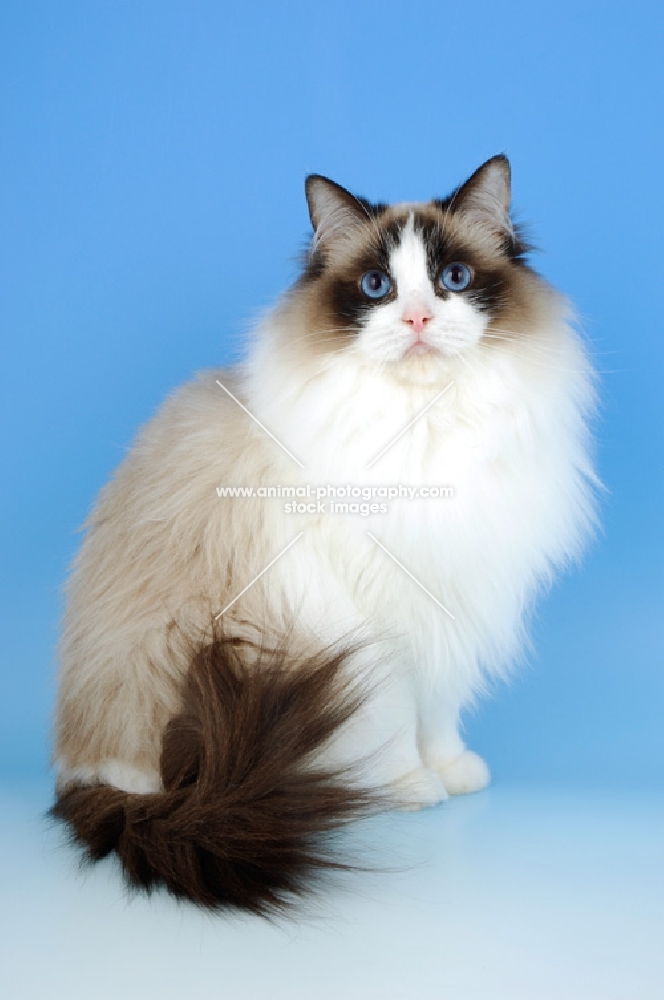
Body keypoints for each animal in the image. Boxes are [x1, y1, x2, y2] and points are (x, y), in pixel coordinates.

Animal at [54, 156, 600, 916]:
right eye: (377, 287)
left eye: (454, 278)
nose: (418, 317)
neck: (425, 430)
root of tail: (83, 773)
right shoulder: (371, 618)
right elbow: (397, 716)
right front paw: (411, 786)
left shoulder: (447, 601)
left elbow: (438, 708)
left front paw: (452, 769)